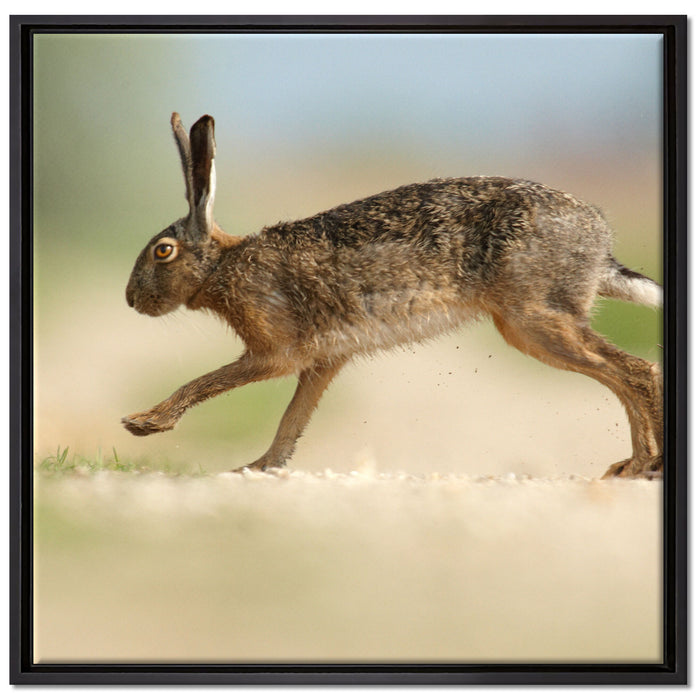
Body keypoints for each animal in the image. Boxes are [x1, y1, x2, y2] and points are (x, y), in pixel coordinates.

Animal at [123, 113, 663, 479]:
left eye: (163, 252)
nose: (130, 300)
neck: (220, 266)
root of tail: (599, 241)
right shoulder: (324, 360)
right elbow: (292, 420)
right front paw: (257, 468)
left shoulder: (275, 351)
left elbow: (208, 382)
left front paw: (144, 423)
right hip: (537, 323)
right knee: (622, 375)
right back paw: (632, 465)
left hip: (533, 319)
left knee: (636, 371)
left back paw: (643, 467)